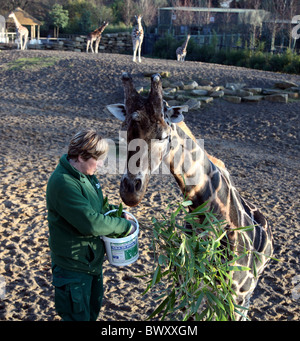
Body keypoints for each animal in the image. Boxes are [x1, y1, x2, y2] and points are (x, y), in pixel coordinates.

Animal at [106, 73, 274, 320]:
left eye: (163, 136)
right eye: (124, 131)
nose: (130, 191)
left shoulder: (234, 293)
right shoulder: (188, 279)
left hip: (246, 292)